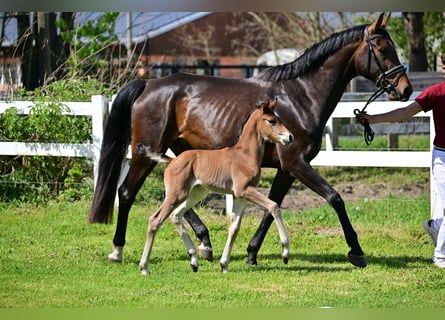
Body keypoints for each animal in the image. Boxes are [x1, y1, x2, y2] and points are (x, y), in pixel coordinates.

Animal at [137, 98, 294, 276]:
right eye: (272, 121)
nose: (290, 137)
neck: (245, 154)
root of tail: (172, 160)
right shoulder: (245, 190)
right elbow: (274, 206)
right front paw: (286, 253)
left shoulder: (240, 196)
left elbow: (234, 228)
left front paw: (224, 264)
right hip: (176, 194)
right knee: (155, 219)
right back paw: (144, 267)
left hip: (196, 193)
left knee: (176, 215)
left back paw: (194, 261)